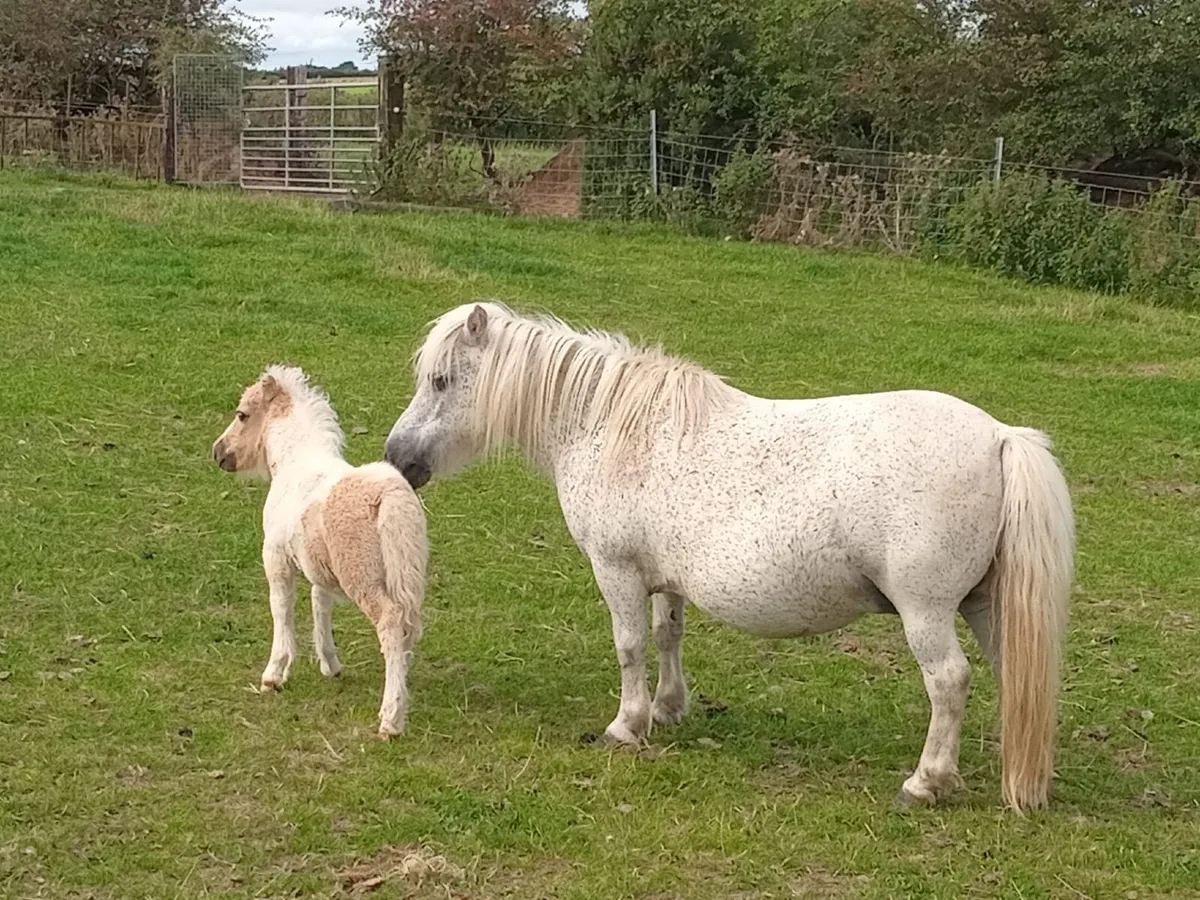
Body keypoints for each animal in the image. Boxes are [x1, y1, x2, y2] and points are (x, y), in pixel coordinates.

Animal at [213, 365, 428, 738]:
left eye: (242, 414)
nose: (218, 452)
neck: (294, 464)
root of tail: (390, 499)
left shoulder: (276, 559)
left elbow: (281, 609)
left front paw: (274, 675)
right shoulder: (317, 567)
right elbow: (320, 606)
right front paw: (330, 664)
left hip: (363, 576)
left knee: (390, 624)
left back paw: (390, 719)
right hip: (408, 574)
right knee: (407, 631)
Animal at [383, 303, 1074, 810]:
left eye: (440, 381)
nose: (397, 459)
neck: (613, 427)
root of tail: (1001, 438)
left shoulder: (616, 571)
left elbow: (629, 646)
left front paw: (626, 725)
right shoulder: (664, 579)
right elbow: (667, 635)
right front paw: (667, 709)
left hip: (927, 612)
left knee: (949, 682)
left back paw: (926, 782)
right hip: (986, 605)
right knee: (1014, 675)